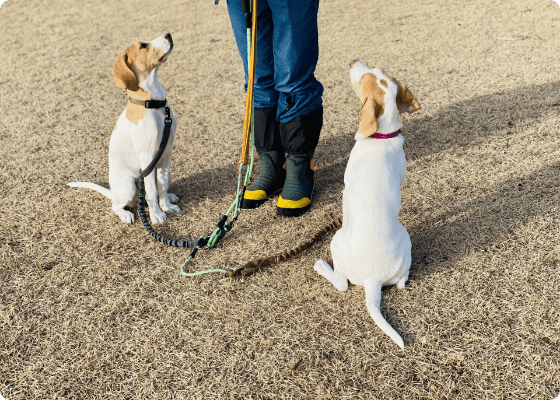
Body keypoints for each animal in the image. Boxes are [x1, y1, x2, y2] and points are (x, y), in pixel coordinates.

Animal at [68, 33, 179, 225]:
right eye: (143, 46)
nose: (168, 34)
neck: (152, 103)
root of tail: (113, 192)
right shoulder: (147, 157)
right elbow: (152, 192)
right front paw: (156, 215)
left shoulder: (166, 154)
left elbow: (162, 185)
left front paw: (166, 206)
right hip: (129, 185)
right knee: (118, 205)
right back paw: (126, 214)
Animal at [316, 60, 420, 350]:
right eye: (376, 70)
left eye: (364, 78)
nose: (353, 61)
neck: (381, 137)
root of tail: (374, 281)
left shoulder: (345, 192)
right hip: (405, 241)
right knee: (402, 282)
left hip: (336, 240)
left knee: (341, 283)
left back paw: (321, 266)